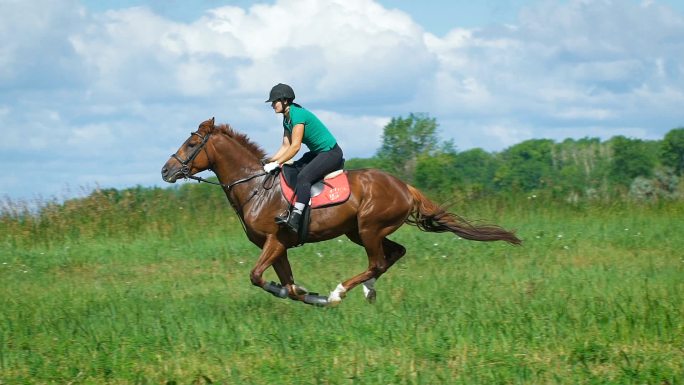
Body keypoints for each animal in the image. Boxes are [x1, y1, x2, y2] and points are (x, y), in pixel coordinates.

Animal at [162, 117, 524, 306]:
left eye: (191, 144)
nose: (166, 171)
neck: (256, 188)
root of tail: (405, 186)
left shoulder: (275, 241)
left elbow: (257, 276)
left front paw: (316, 295)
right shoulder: (278, 247)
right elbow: (286, 284)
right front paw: (305, 294)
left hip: (369, 228)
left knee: (378, 260)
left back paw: (340, 292)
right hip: (359, 232)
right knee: (393, 255)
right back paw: (367, 290)